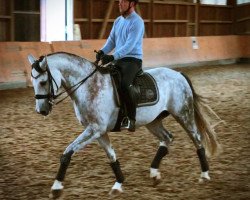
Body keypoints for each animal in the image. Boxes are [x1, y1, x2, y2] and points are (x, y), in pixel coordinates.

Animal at [27, 52, 221, 198]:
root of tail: (179, 74)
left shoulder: (94, 129)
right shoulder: (98, 131)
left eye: (43, 82)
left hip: (183, 114)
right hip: (153, 121)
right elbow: (112, 156)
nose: (41, 110)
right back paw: (154, 173)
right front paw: (118, 184)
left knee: (197, 140)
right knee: (167, 138)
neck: (89, 86)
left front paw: (56, 188)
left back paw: (204, 175)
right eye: (33, 82)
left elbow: (67, 153)